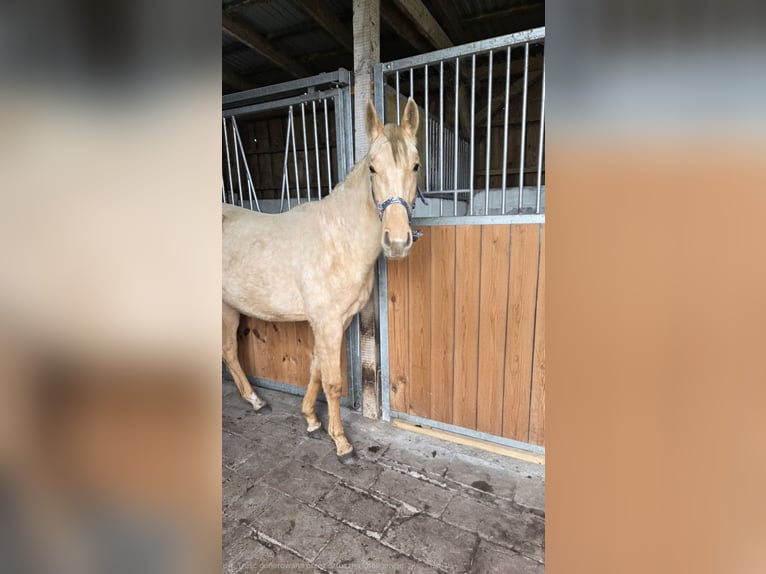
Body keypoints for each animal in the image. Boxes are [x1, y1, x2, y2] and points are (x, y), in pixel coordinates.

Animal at [222, 98, 420, 463]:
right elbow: (333, 382)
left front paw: (312, 420)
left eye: (415, 166)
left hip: (227, 306)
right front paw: (341, 443)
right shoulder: (327, 322)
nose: (397, 242)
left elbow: (315, 368)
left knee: (229, 350)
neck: (338, 239)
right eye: (372, 168)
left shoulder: (334, 322)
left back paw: (256, 401)